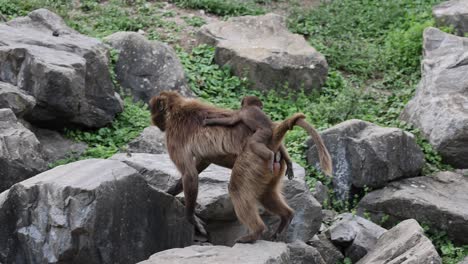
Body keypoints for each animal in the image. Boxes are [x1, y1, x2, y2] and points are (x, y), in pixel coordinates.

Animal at [148, 92, 330, 242]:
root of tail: (272, 140)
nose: (153, 119)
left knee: (236, 188)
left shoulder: (174, 136)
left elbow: (190, 173)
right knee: (266, 193)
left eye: (152, 109)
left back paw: (255, 232)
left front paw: (191, 217)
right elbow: (202, 161)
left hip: (253, 158)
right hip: (272, 168)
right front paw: (170, 191)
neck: (177, 108)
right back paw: (286, 216)